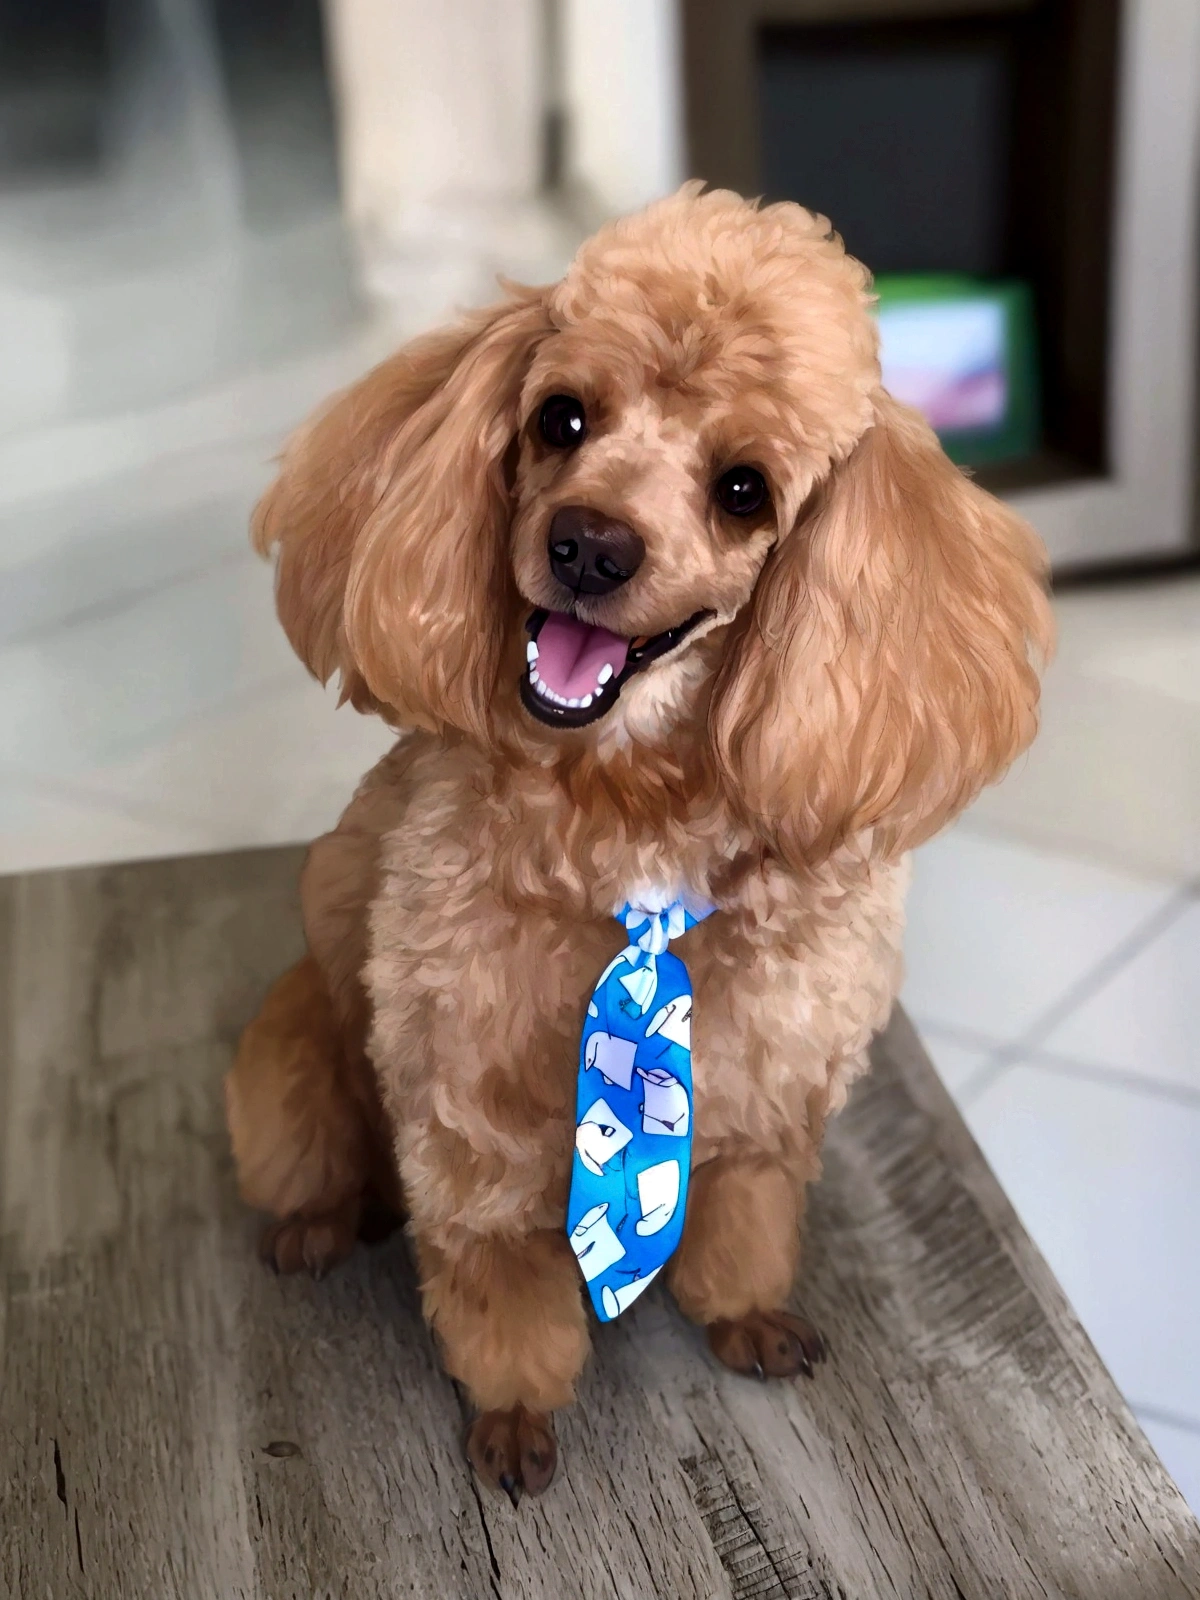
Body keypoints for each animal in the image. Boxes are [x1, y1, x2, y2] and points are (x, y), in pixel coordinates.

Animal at [225, 184, 1049, 1497]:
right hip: (292, 1055)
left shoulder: (765, 1089)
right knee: (317, 1163)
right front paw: (513, 1410)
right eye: (561, 417)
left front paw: (742, 1314)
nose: (589, 546)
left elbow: (744, 1219)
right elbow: (499, 1277)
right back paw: (315, 1225)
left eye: (745, 488)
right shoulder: (473, 1111)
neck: (634, 818)